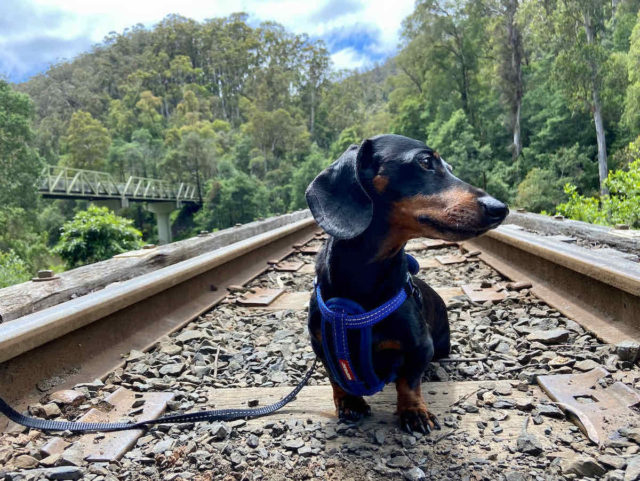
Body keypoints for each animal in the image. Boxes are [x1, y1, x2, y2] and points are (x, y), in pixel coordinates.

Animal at [304, 133, 510, 434]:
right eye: (425, 161)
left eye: (449, 167)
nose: (501, 209)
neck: (364, 279)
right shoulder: (321, 345)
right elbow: (336, 378)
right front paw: (350, 402)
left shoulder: (421, 347)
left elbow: (409, 382)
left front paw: (413, 412)